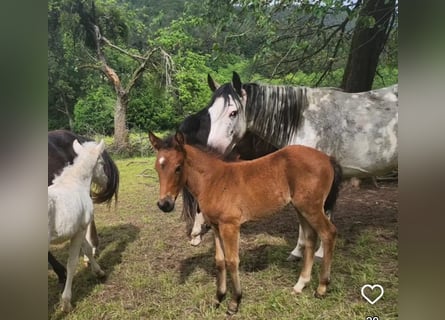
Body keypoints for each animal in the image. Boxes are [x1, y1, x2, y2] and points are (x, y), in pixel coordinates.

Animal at [148, 132, 340, 316]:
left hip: (311, 207)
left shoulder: (230, 225)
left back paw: (321, 288)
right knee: (310, 238)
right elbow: (220, 261)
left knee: (328, 233)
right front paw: (218, 298)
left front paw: (234, 303)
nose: (164, 204)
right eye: (157, 168)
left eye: (178, 167)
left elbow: (232, 261)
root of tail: (327, 158)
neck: (213, 180)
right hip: (301, 208)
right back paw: (300, 285)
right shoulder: (216, 226)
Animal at [180, 72, 398, 260]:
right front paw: (298, 251)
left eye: (233, 113)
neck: (304, 122)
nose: (208, 151)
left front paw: (319, 253)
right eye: (209, 114)